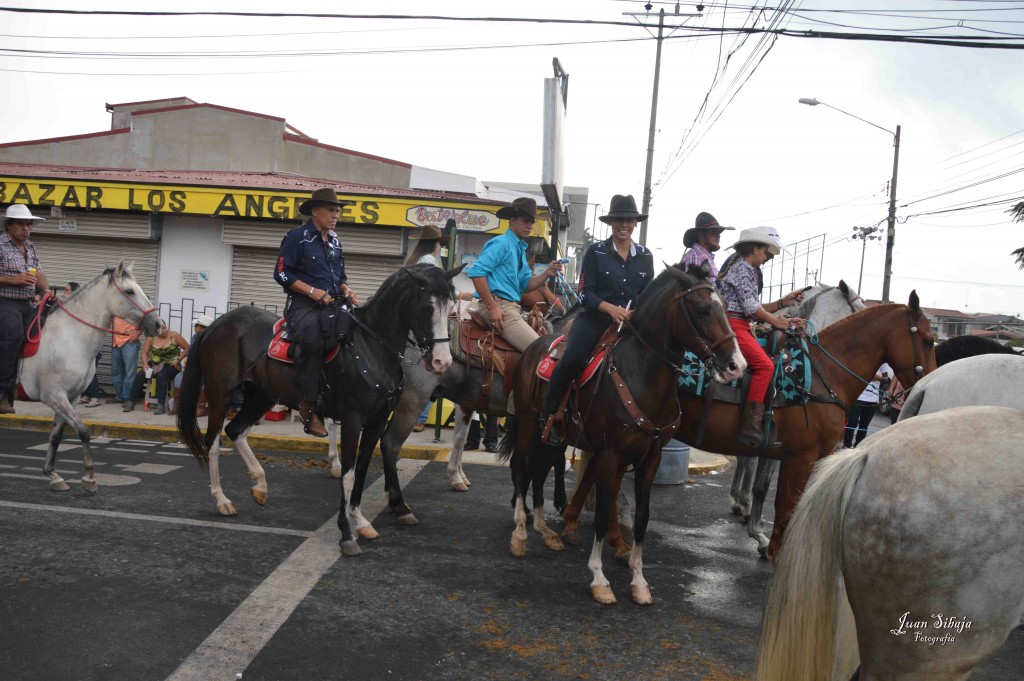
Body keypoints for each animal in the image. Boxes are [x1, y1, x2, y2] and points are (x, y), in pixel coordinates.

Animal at [15, 259, 163, 489]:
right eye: (129, 291)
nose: (157, 324)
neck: (70, 337)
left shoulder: (71, 397)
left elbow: (56, 436)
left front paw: (53, 474)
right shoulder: (54, 396)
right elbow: (83, 431)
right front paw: (89, 476)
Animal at [178, 262, 458, 557]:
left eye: (452, 306)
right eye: (427, 308)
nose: (442, 361)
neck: (371, 348)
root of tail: (217, 323)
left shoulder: (376, 421)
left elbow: (361, 470)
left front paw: (360, 521)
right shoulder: (352, 420)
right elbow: (347, 474)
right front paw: (346, 533)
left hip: (261, 396)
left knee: (236, 430)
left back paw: (260, 485)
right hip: (220, 394)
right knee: (212, 444)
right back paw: (221, 499)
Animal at [503, 266, 745, 606]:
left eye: (725, 306)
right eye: (701, 309)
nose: (736, 365)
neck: (640, 375)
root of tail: (533, 347)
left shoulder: (650, 458)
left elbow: (642, 517)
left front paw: (639, 580)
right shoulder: (610, 455)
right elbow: (604, 514)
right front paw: (599, 579)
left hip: (552, 436)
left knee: (539, 470)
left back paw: (545, 531)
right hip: (527, 423)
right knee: (522, 469)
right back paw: (521, 534)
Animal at [561, 288, 937, 561]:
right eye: (929, 340)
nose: (928, 382)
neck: (817, 374)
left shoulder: (778, 451)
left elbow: (763, 490)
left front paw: (759, 535)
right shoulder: (800, 457)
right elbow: (784, 505)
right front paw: (773, 549)